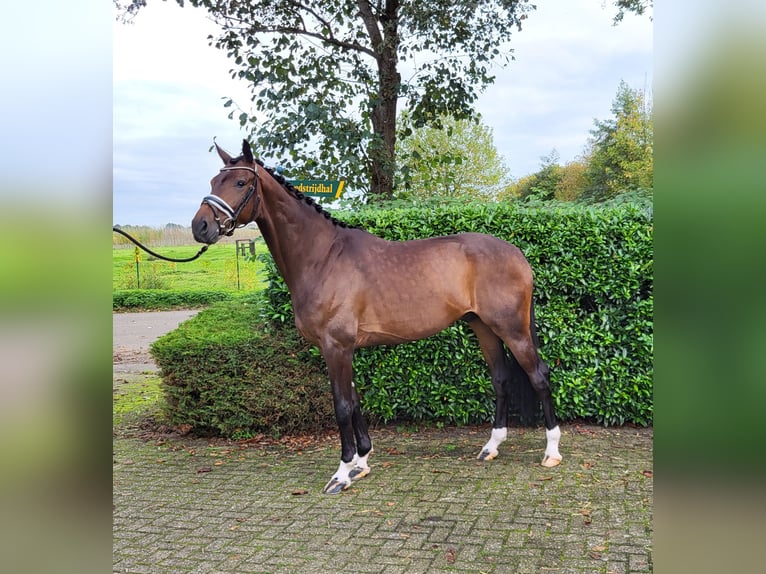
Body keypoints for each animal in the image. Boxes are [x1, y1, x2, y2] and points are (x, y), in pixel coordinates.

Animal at [192, 140, 564, 496]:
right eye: (212, 181)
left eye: (240, 183)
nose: (200, 226)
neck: (322, 257)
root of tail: (517, 254)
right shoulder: (342, 349)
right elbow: (355, 401)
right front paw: (361, 462)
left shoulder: (336, 346)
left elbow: (342, 406)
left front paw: (342, 474)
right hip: (482, 326)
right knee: (500, 378)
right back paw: (491, 446)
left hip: (512, 329)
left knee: (539, 376)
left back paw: (551, 452)